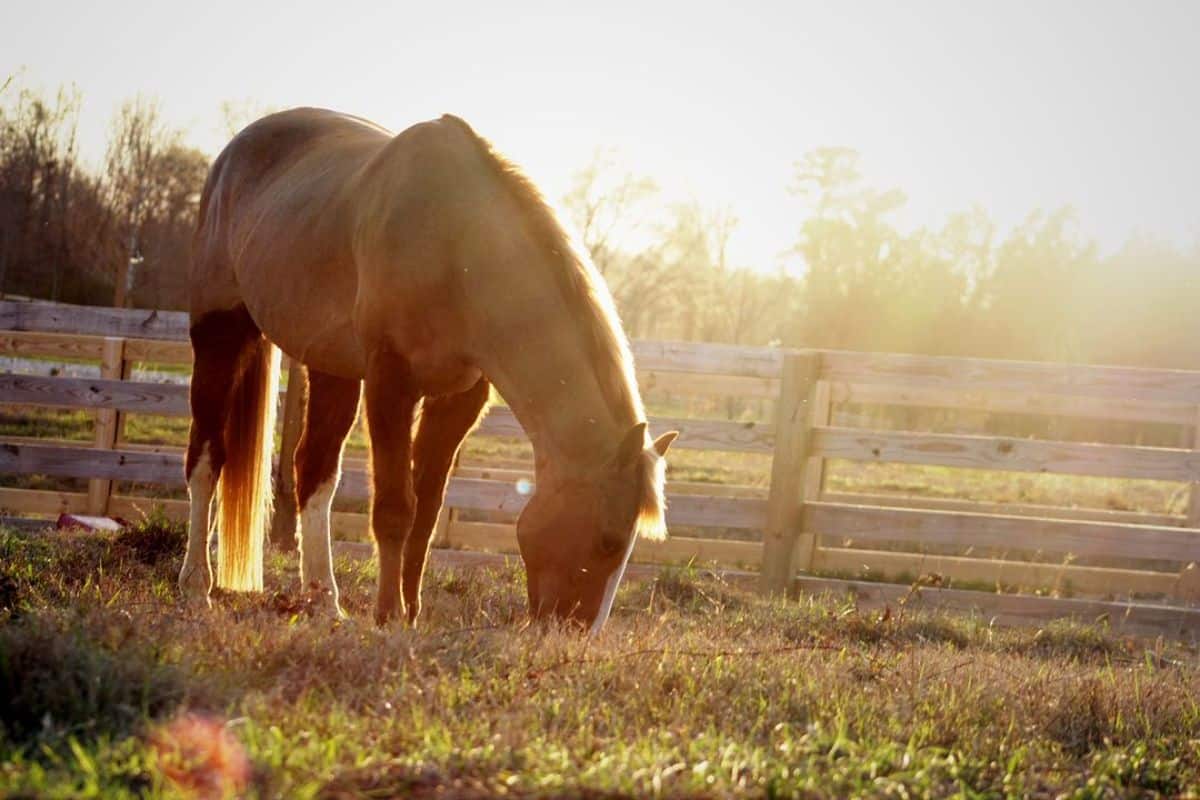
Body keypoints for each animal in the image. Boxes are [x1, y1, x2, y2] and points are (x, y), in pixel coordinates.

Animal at [182, 107, 681, 633]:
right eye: (608, 540)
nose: (576, 632)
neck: (455, 246)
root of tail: (233, 153)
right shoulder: (390, 385)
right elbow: (395, 509)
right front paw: (388, 614)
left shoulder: (458, 401)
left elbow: (425, 512)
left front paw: (410, 614)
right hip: (220, 338)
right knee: (206, 460)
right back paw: (196, 586)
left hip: (332, 368)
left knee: (312, 471)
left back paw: (324, 601)